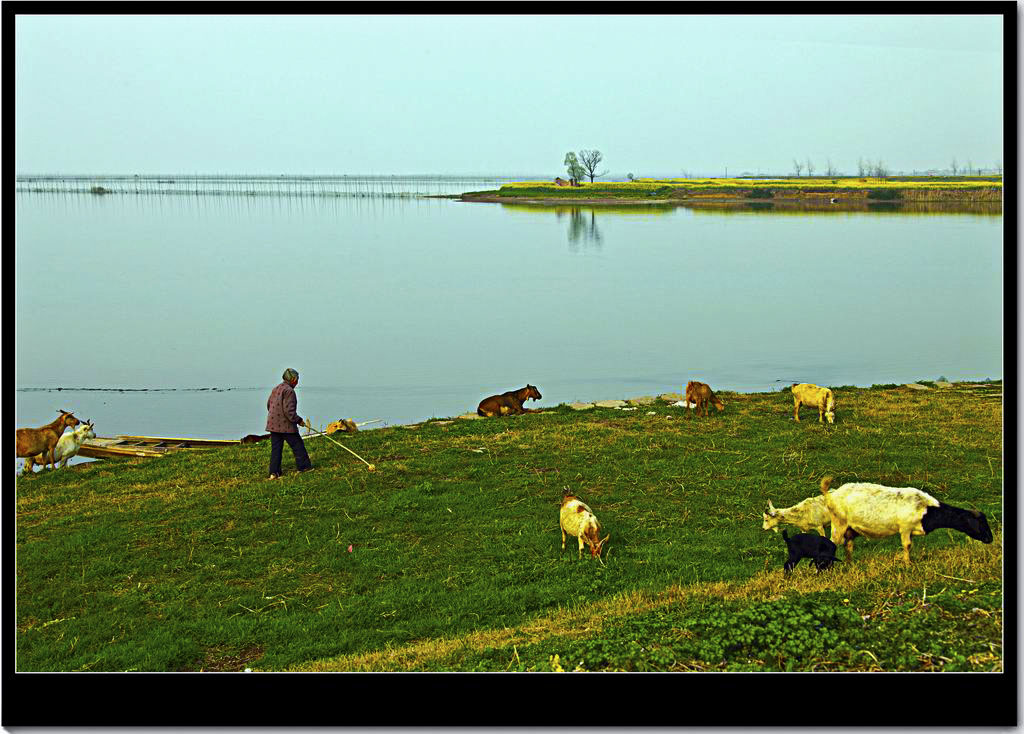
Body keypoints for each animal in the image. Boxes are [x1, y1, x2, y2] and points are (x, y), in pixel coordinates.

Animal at [815, 472, 991, 565]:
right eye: (980, 522)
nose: (990, 539)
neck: (926, 509)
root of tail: (830, 494)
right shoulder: (905, 528)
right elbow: (907, 545)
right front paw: (907, 564)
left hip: (850, 527)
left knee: (848, 545)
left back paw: (850, 564)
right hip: (839, 522)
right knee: (832, 543)